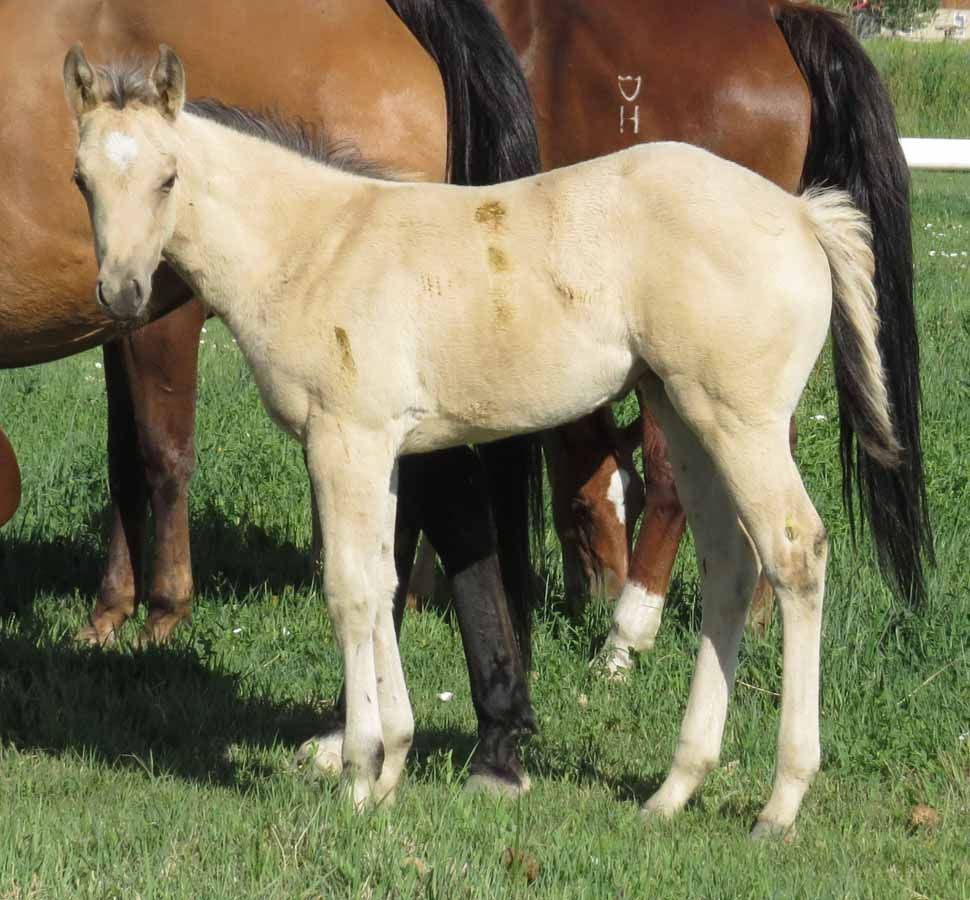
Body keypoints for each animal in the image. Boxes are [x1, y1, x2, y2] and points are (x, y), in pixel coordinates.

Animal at [0, 0, 541, 795]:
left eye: (169, 180)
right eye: (78, 180)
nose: (120, 287)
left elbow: (158, 454)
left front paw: (158, 617)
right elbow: (126, 460)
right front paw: (110, 620)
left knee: (445, 514)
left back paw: (475, 742)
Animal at [64, 43, 906, 837]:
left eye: (168, 178)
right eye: (81, 181)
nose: (123, 294)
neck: (314, 246)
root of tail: (803, 217)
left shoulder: (344, 438)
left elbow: (349, 590)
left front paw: (359, 773)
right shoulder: (383, 446)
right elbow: (384, 583)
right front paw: (393, 761)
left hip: (740, 421)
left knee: (795, 552)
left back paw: (781, 802)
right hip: (684, 412)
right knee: (730, 566)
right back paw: (675, 789)